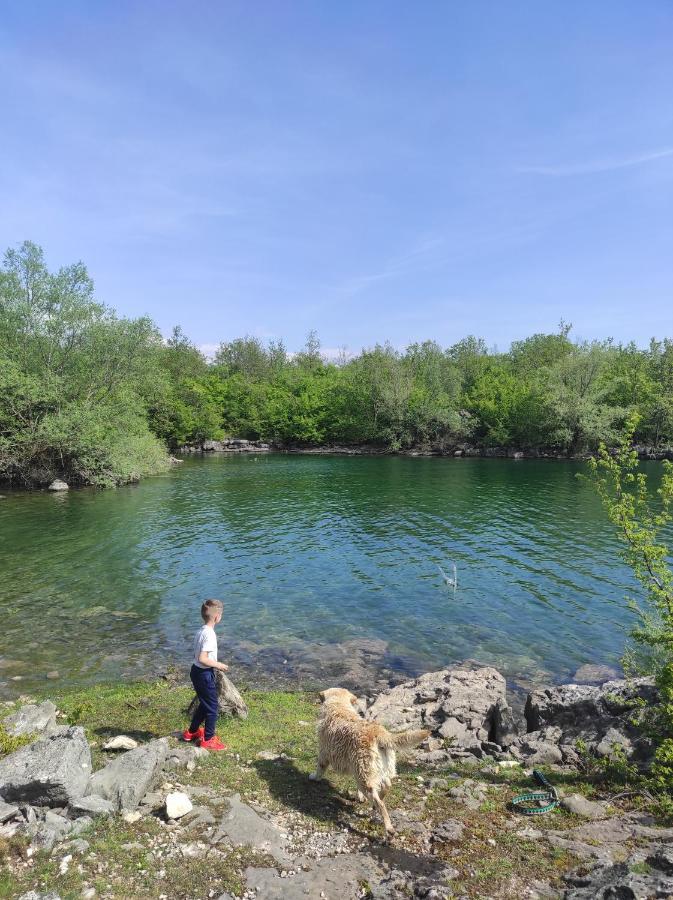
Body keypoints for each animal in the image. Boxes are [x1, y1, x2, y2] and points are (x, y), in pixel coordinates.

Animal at [312, 688, 430, 836]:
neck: (339, 706)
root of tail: (379, 732)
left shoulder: (324, 753)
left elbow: (320, 768)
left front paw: (314, 778)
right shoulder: (356, 767)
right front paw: (360, 796)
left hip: (365, 776)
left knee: (380, 802)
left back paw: (388, 827)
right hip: (377, 770)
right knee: (386, 786)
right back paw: (379, 799)